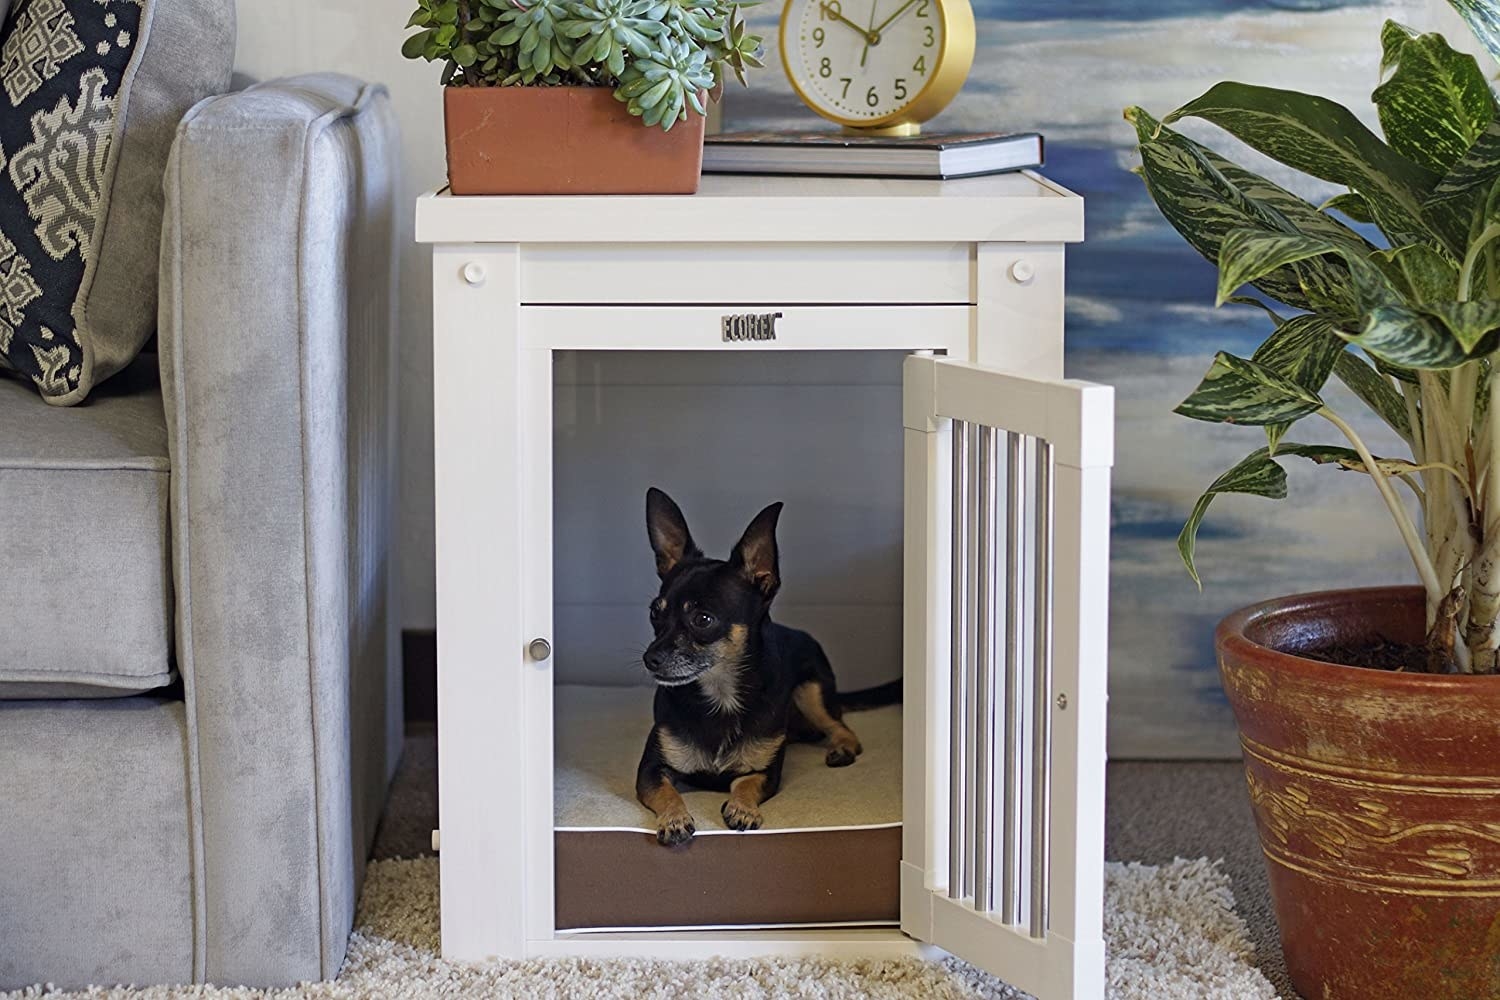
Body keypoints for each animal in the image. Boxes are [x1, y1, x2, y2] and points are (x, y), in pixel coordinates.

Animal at [636, 488, 894, 851]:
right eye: (654, 614)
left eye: (703, 619)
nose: (650, 658)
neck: (721, 696)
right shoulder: (651, 769)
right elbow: (665, 791)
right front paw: (674, 818)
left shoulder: (766, 773)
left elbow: (745, 784)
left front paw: (742, 808)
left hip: (811, 693)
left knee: (842, 727)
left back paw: (842, 747)